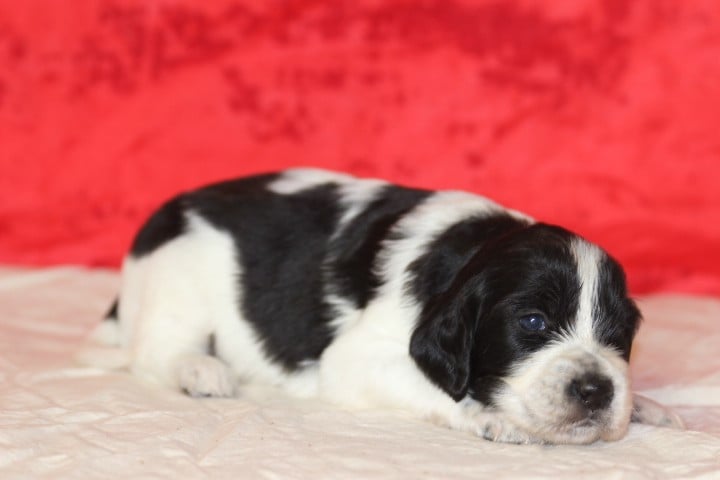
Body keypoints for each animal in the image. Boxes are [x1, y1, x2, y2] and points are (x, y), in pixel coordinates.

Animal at [87, 168, 684, 444]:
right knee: (156, 351)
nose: (596, 390)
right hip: (178, 283)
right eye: (532, 322)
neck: (468, 251)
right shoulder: (355, 358)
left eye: (617, 334)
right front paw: (489, 414)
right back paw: (202, 370)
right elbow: (429, 385)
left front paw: (644, 404)